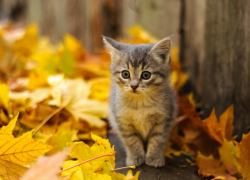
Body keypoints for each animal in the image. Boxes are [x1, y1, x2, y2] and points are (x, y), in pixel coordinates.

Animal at [102, 36, 177, 167]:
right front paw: (135, 157)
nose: (134, 86)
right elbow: (131, 140)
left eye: (146, 75)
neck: (140, 103)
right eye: (125, 74)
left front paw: (154, 157)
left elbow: (158, 139)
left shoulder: (164, 118)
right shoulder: (122, 121)